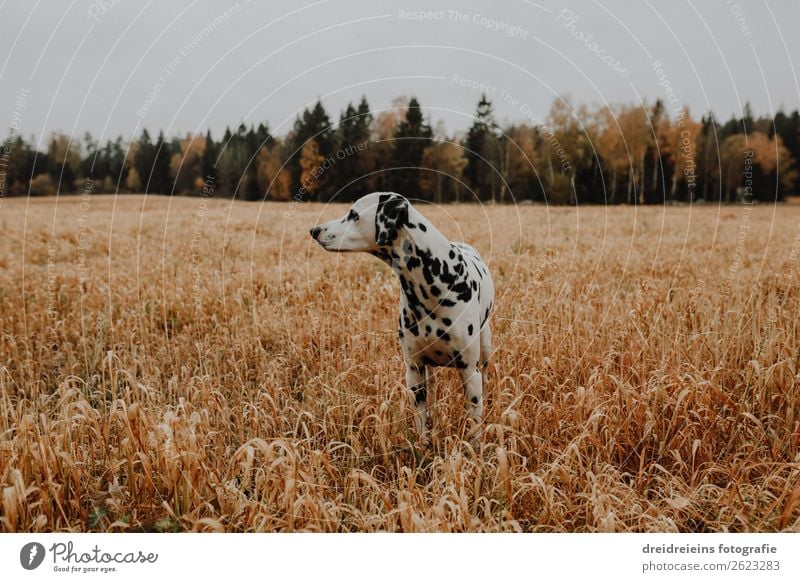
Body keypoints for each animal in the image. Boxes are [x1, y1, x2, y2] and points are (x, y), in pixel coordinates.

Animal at [310, 192, 494, 442]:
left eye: (353, 214)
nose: (314, 230)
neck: (432, 285)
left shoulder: (468, 372)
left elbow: (474, 426)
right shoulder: (414, 370)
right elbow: (421, 423)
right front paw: (423, 445)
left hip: (484, 353)